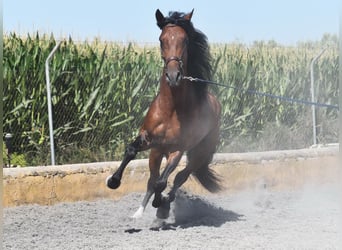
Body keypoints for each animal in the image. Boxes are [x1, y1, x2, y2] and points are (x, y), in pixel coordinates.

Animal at [106, 8, 222, 218]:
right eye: (162, 39)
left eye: (185, 40)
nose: (173, 76)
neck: (171, 110)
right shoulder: (149, 140)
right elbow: (131, 151)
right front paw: (113, 181)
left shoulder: (177, 150)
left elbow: (162, 181)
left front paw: (160, 205)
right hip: (158, 152)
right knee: (153, 179)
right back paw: (139, 213)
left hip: (198, 154)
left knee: (179, 178)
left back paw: (164, 205)